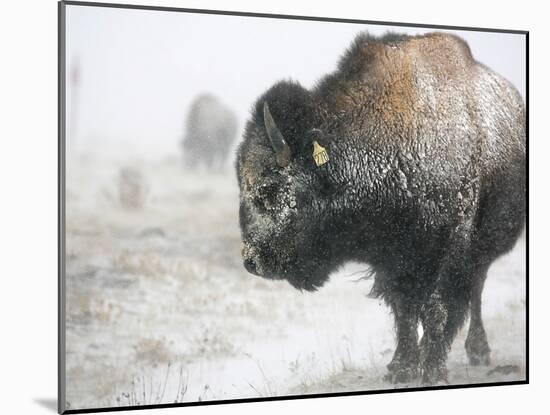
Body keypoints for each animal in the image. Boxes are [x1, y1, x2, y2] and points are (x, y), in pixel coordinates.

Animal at [236, 32, 528, 386]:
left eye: (268, 189)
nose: (252, 261)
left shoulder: (448, 246)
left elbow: (437, 308)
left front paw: (432, 371)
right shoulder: (393, 257)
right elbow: (404, 311)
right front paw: (402, 367)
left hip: (483, 248)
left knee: (475, 290)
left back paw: (478, 351)